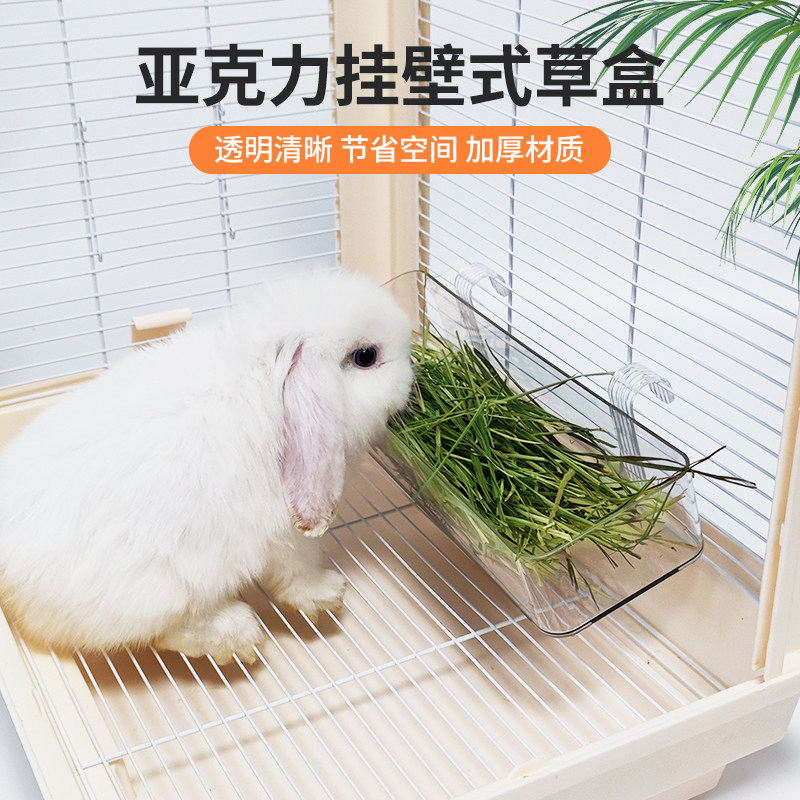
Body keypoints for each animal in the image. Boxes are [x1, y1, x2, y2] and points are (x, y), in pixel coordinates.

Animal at [0, 270, 413, 665]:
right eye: (365, 356)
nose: (411, 380)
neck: (263, 375)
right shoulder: (285, 538)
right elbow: (297, 573)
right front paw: (329, 593)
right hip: (159, 592)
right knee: (166, 632)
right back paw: (237, 633)